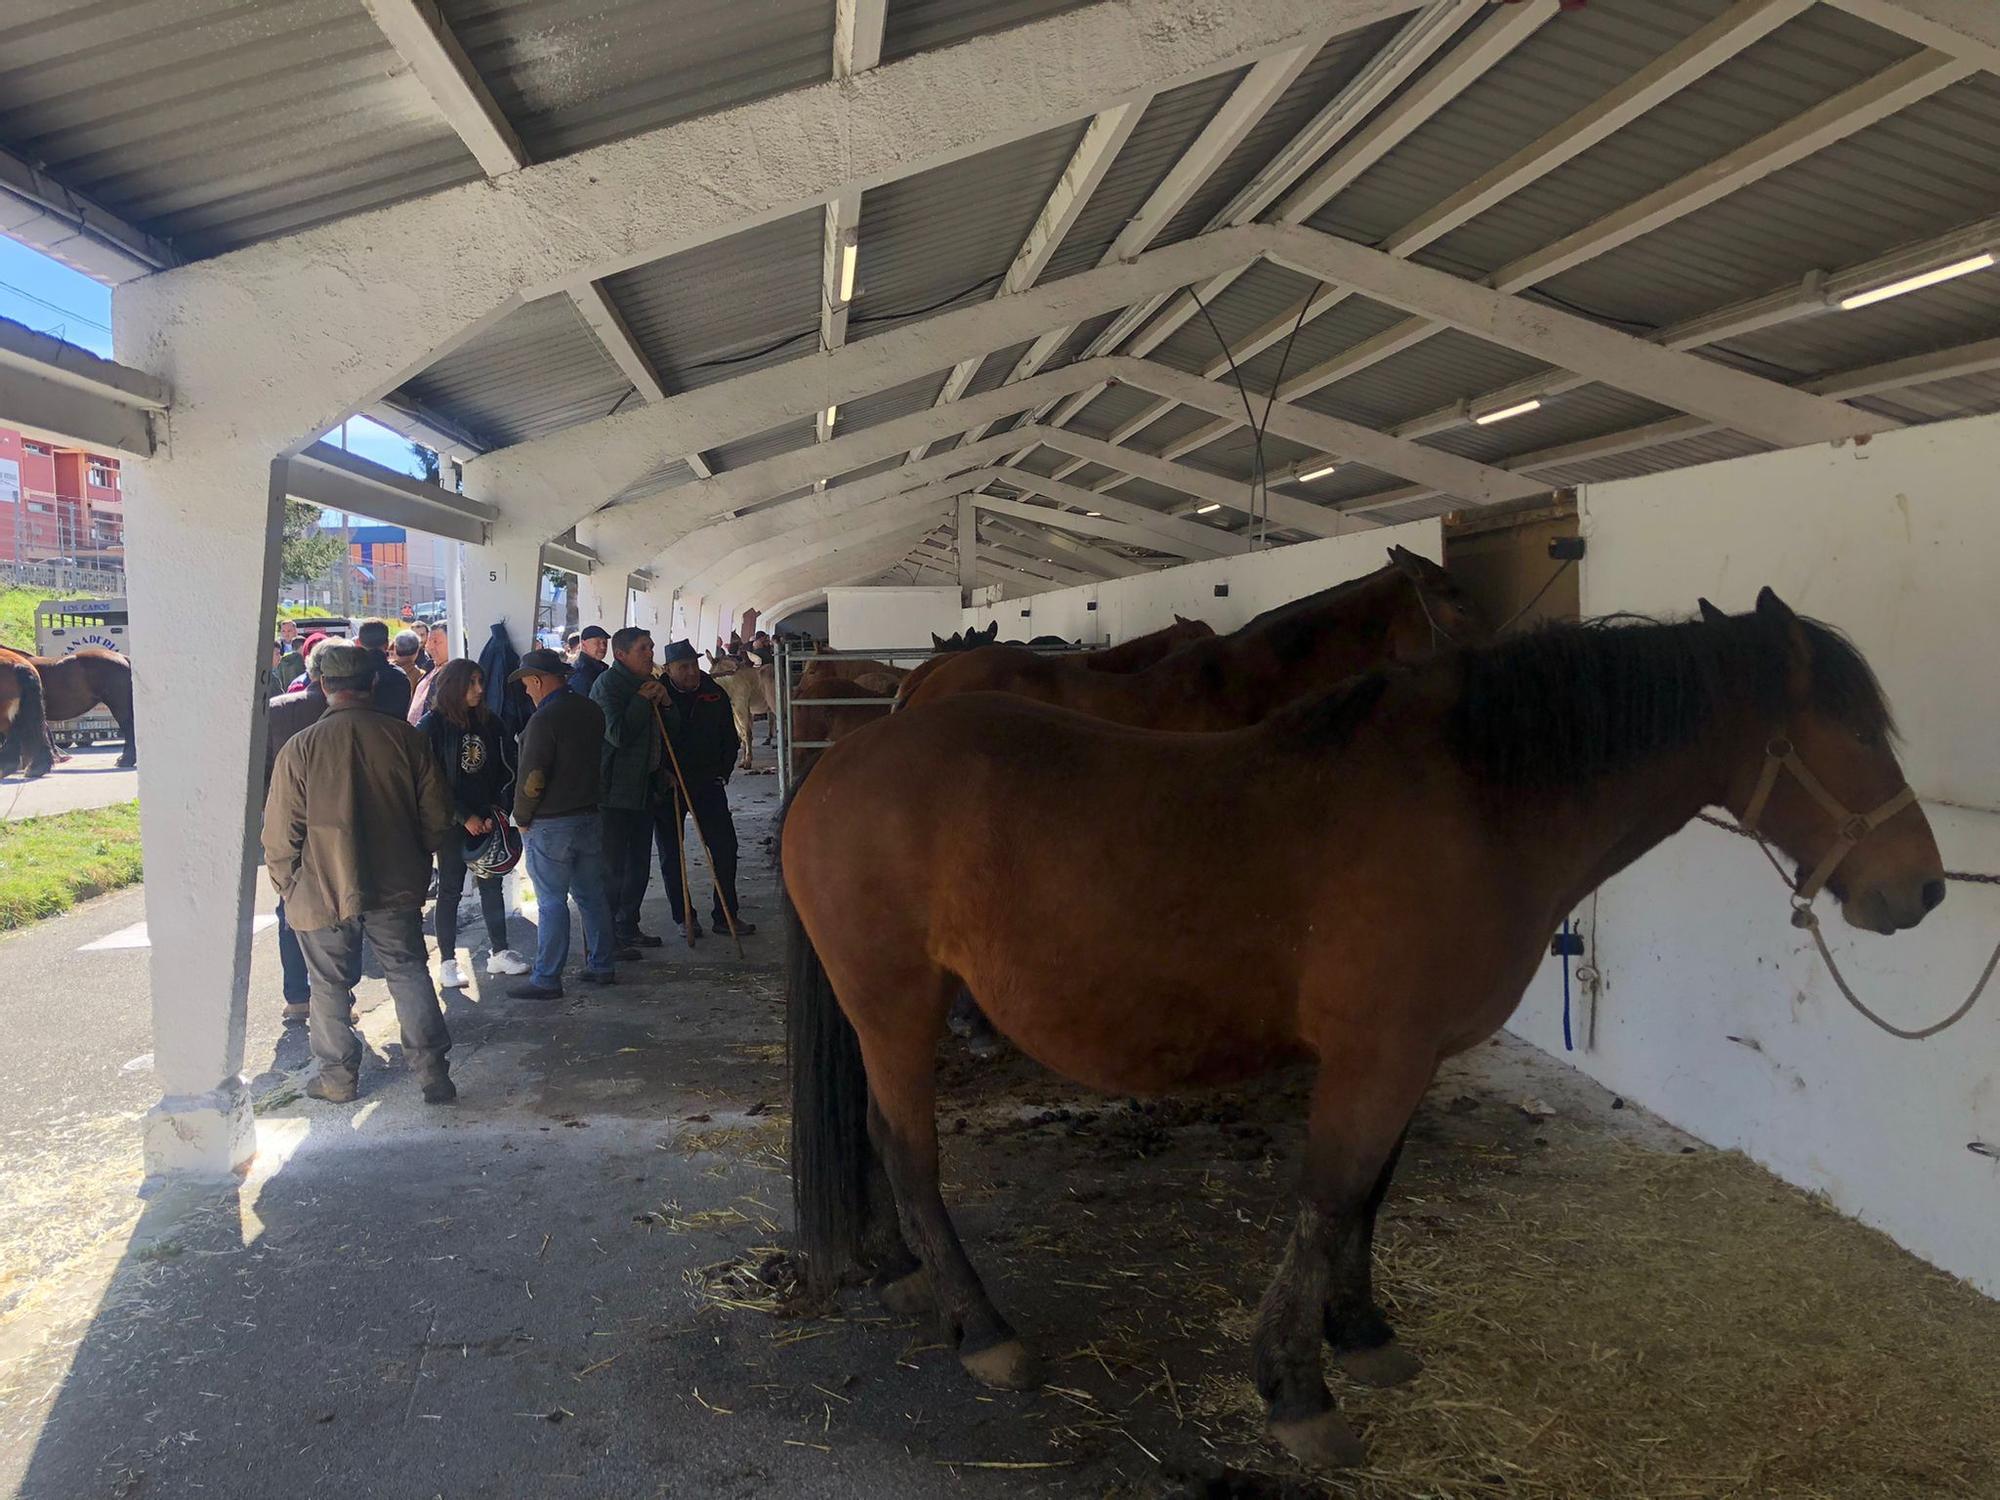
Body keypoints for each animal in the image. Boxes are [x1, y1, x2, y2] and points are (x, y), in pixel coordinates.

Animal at [780, 592, 1936, 1472]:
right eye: (1852, 734)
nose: (1920, 889)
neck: (1474, 802)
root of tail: (842, 762)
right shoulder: (1375, 1058)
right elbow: (1328, 1200)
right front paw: (1297, 1390)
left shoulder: (1410, 1058)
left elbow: (1367, 1200)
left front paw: (1363, 1335)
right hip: (897, 1003)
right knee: (910, 1152)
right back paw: (983, 1330)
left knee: (882, 1147)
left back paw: (901, 1272)